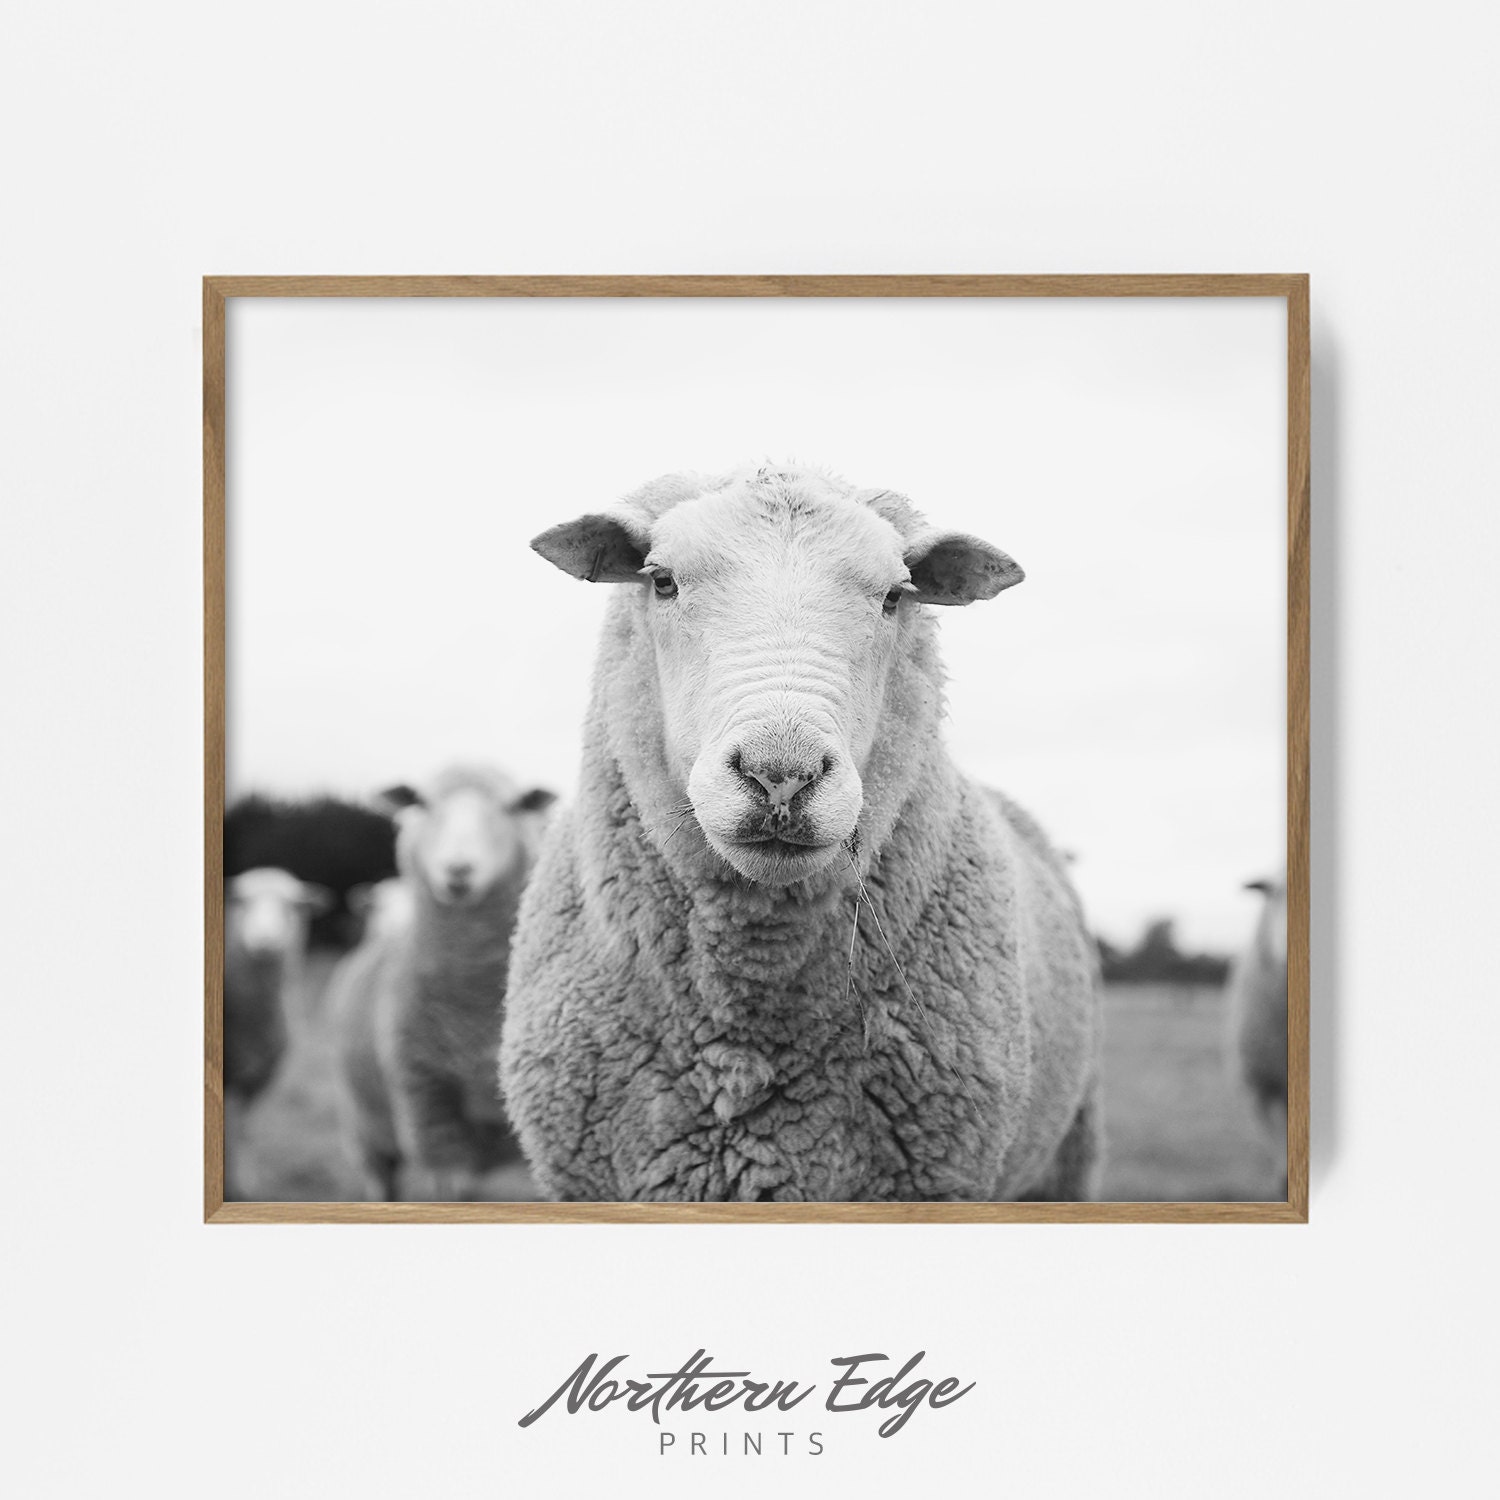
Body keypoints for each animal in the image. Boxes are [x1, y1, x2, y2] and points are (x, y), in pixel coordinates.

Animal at [222, 866, 330, 1196]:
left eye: (293, 906)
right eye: (242, 901)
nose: (265, 941)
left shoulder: (263, 1075)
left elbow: (245, 1129)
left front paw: (243, 1182)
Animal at [330, 767, 556, 1201]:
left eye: (512, 807)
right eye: (422, 803)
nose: (458, 868)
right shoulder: (432, 1114)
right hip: (366, 1128)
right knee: (382, 1181)